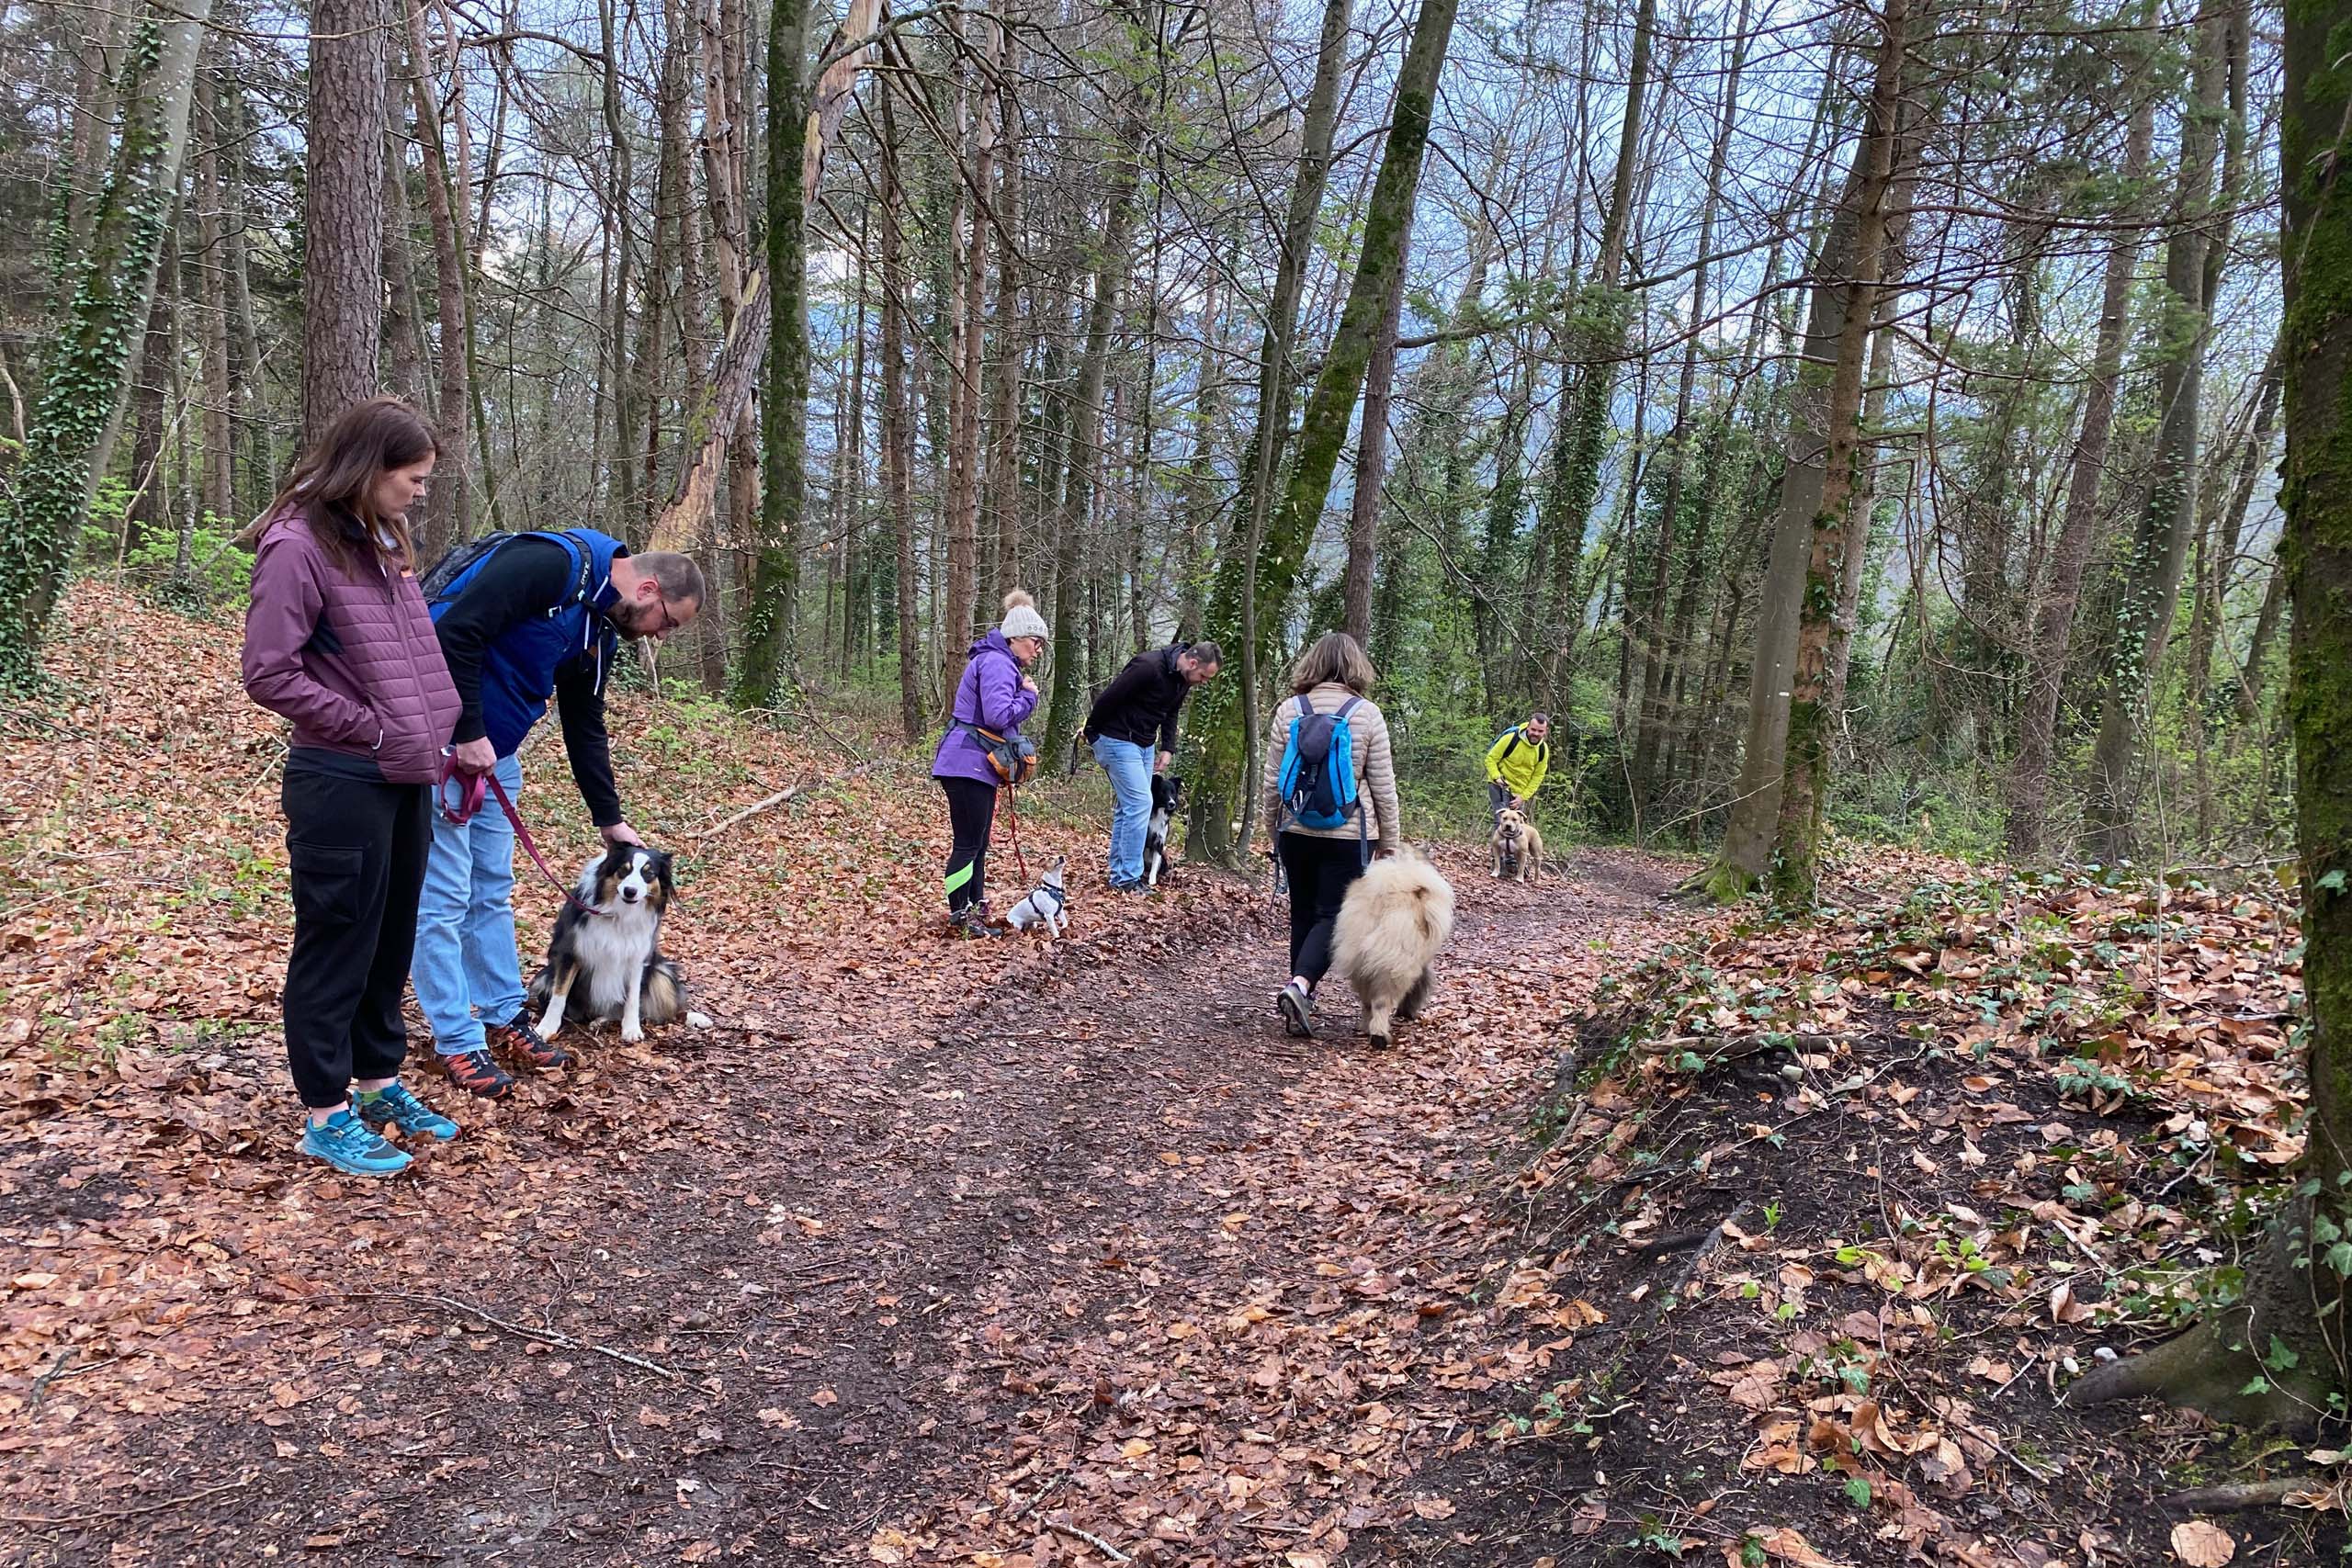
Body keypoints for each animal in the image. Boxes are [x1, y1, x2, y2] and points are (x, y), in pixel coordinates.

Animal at [529, 846, 686, 1043]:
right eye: (623, 870)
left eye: (649, 874)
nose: (630, 891)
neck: (618, 914)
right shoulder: (570, 952)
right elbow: (559, 994)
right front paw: (547, 1027)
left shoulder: (637, 959)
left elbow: (633, 998)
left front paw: (631, 1028)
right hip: (543, 978)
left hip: (662, 973)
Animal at [1326, 851, 1448, 1048]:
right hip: (1394, 968)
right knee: (1381, 1003)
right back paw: (1379, 1036)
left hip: (1361, 965)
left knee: (1367, 1002)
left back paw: (1367, 1028)